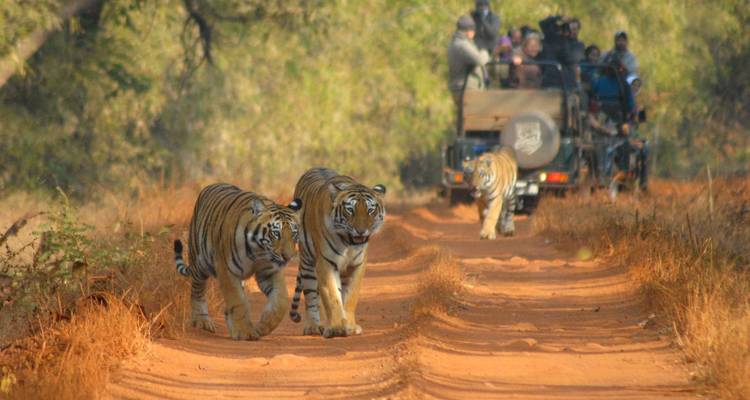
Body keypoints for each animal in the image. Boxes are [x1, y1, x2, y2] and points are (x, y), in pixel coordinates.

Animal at [173, 183, 302, 341]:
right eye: (276, 233)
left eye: (294, 234)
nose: (288, 257)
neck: (258, 250)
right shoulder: (227, 270)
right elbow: (237, 300)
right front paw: (244, 332)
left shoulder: (269, 270)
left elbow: (281, 301)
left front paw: (262, 327)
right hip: (199, 262)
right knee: (198, 290)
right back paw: (202, 321)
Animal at [288, 168, 386, 338]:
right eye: (350, 210)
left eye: (370, 210)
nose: (361, 231)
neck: (349, 242)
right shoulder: (326, 264)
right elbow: (332, 296)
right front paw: (336, 328)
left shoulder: (357, 265)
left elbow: (351, 296)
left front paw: (350, 327)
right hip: (307, 263)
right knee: (312, 296)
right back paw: (314, 326)